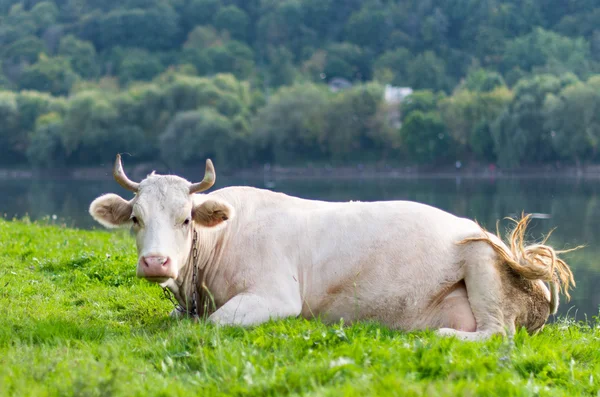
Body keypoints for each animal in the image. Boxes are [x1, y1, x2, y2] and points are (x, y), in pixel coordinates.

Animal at [88, 155, 576, 340]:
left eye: (186, 218)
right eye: (136, 218)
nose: (156, 262)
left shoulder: (277, 295)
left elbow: (214, 323)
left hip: (480, 259)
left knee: (497, 332)